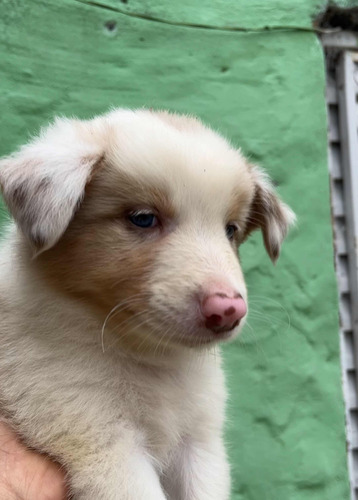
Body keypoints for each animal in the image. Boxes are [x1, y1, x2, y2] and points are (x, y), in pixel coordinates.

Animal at [0, 110, 294, 500]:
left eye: (230, 230)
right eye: (142, 218)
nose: (228, 310)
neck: (151, 361)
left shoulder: (200, 443)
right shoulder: (99, 437)